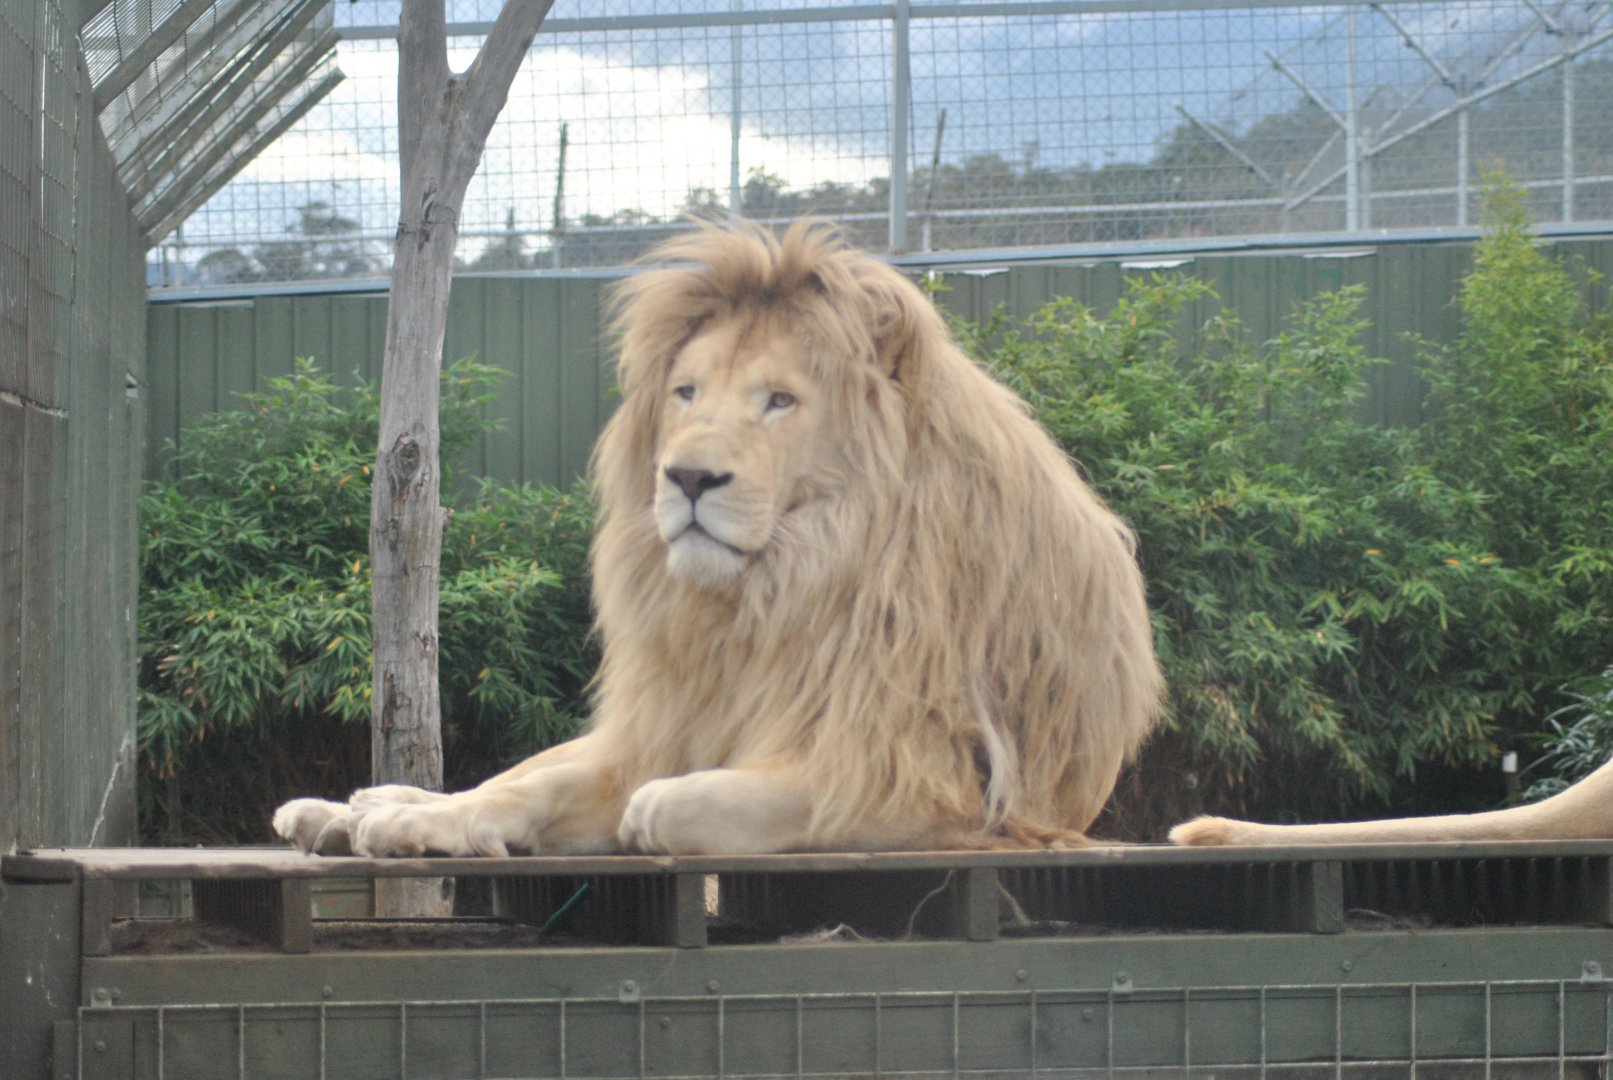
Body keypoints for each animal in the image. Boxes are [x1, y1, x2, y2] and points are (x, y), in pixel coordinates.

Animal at [273, 219, 1163, 858]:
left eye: (779, 401)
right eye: (687, 393)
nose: (689, 478)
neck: (770, 589)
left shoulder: (925, 788)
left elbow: (676, 800)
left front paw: (651, 809)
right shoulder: (666, 723)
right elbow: (529, 790)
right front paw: (417, 821)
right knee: (508, 773)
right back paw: (354, 807)